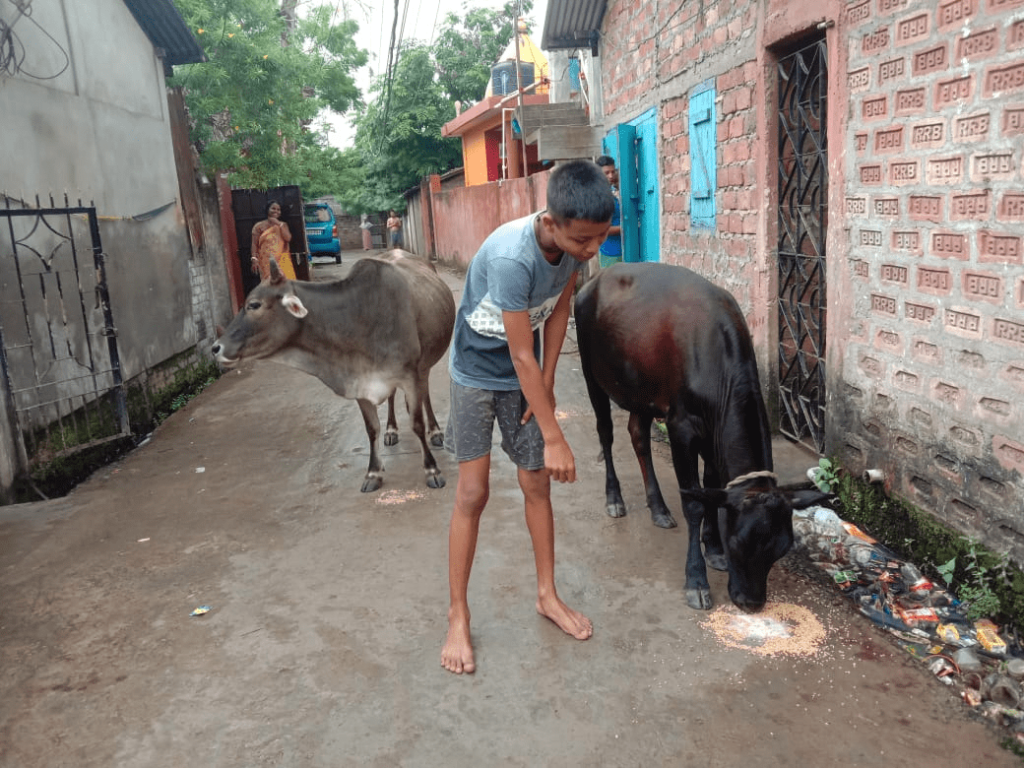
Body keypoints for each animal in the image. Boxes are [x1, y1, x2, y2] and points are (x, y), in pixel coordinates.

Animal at [209, 252, 454, 493]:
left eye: (254, 304)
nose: (215, 348)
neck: (358, 316)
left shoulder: (410, 376)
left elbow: (417, 424)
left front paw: (432, 470)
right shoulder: (359, 382)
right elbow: (372, 429)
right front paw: (373, 472)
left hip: (425, 364)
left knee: (425, 395)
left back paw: (435, 432)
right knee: (393, 397)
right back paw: (391, 430)